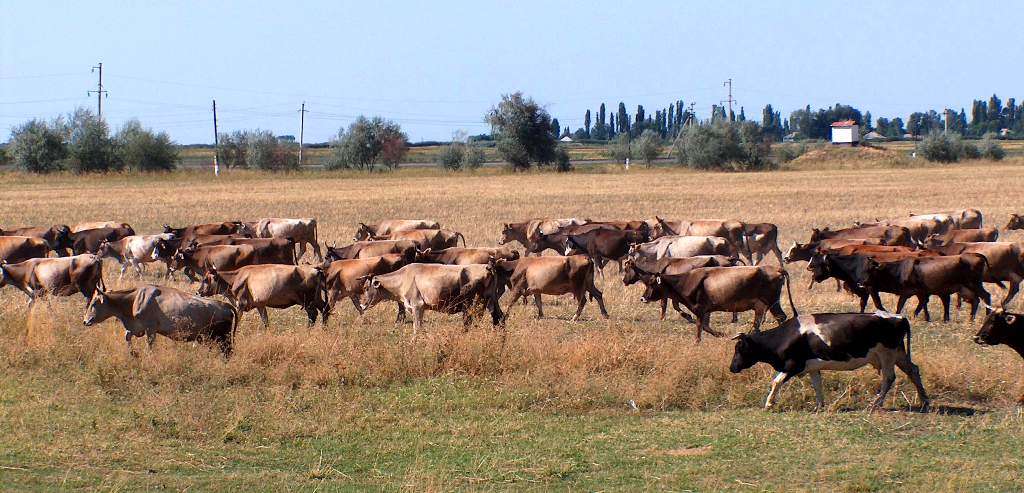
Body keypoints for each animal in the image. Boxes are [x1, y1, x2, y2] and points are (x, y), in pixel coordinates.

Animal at [81, 282, 237, 354]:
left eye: (94, 303)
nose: (85, 321)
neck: (134, 299)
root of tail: (225, 305)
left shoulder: (150, 329)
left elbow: (149, 346)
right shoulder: (137, 328)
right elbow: (127, 336)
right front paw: (133, 353)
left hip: (223, 338)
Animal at [729, 311, 929, 412]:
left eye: (739, 348)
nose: (732, 367)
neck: (785, 336)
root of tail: (899, 317)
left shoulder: (793, 364)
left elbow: (776, 381)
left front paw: (769, 404)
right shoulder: (811, 367)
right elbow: (817, 385)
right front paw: (819, 405)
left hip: (887, 354)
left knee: (889, 378)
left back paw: (875, 404)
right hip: (898, 354)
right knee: (913, 370)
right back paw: (924, 401)